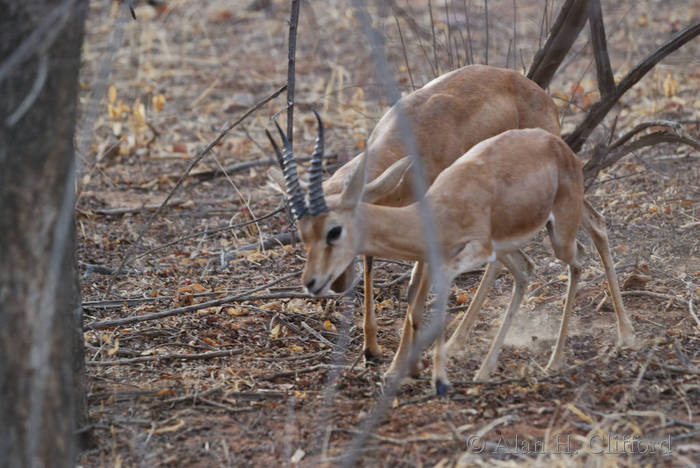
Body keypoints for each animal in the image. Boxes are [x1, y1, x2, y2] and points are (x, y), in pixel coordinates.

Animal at [266, 118, 635, 395]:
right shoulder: (445, 256)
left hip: (557, 236)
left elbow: (435, 294)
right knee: (530, 268)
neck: (440, 209)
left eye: (334, 230)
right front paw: (409, 371)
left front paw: (438, 379)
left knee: (581, 256)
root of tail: (561, 147)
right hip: (512, 246)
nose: (312, 282)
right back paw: (485, 371)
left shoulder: (474, 251)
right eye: (303, 232)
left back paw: (568, 356)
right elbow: (415, 307)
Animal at [272, 65, 562, 366]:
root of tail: (543, 97)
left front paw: (400, 363)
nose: (337, 284)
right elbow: (371, 265)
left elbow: (414, 289)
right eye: (304, 232)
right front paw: (371, 349)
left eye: (335, 230)